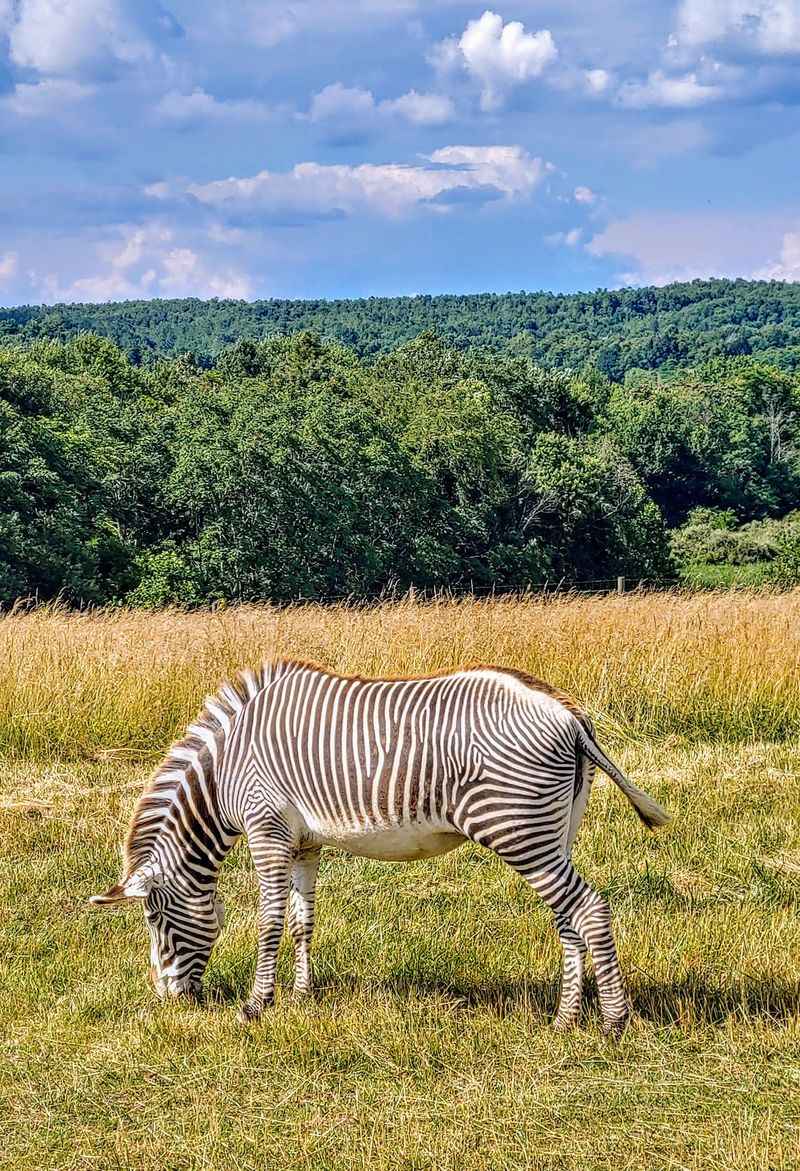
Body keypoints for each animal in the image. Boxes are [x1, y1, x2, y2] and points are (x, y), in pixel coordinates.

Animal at [90, 658, 670, 1034]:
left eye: (154, 918)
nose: (167, 1000)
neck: (226, 769)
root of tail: (569, 715)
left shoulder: (266, 829)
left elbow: (270, 920)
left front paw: (256, 1006)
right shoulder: (305, 843)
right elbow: (302, 921)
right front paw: (302, 995)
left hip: (517, 829)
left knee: (590, 908)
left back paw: (613, 1022)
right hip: (554, 830)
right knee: (568, 916)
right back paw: (566, 1019)